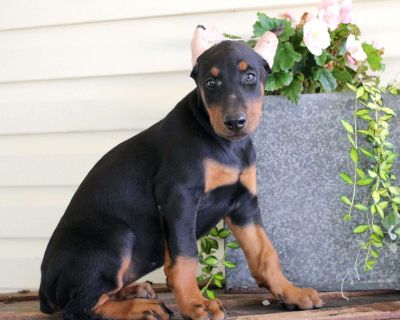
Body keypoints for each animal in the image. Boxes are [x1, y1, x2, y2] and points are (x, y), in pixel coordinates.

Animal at [39, 25, 324, 320]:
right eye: (210, 83)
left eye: (250, 76)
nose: (235, 122)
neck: (224, 145)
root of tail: (44, 289)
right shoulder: (179, 197)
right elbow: (186, 257)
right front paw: (196, 304)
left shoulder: (243, 202)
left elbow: (265, 253)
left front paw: (292, 293)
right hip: (117, 236)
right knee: (78, 308)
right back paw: (140, 308)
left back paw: (134, 291)